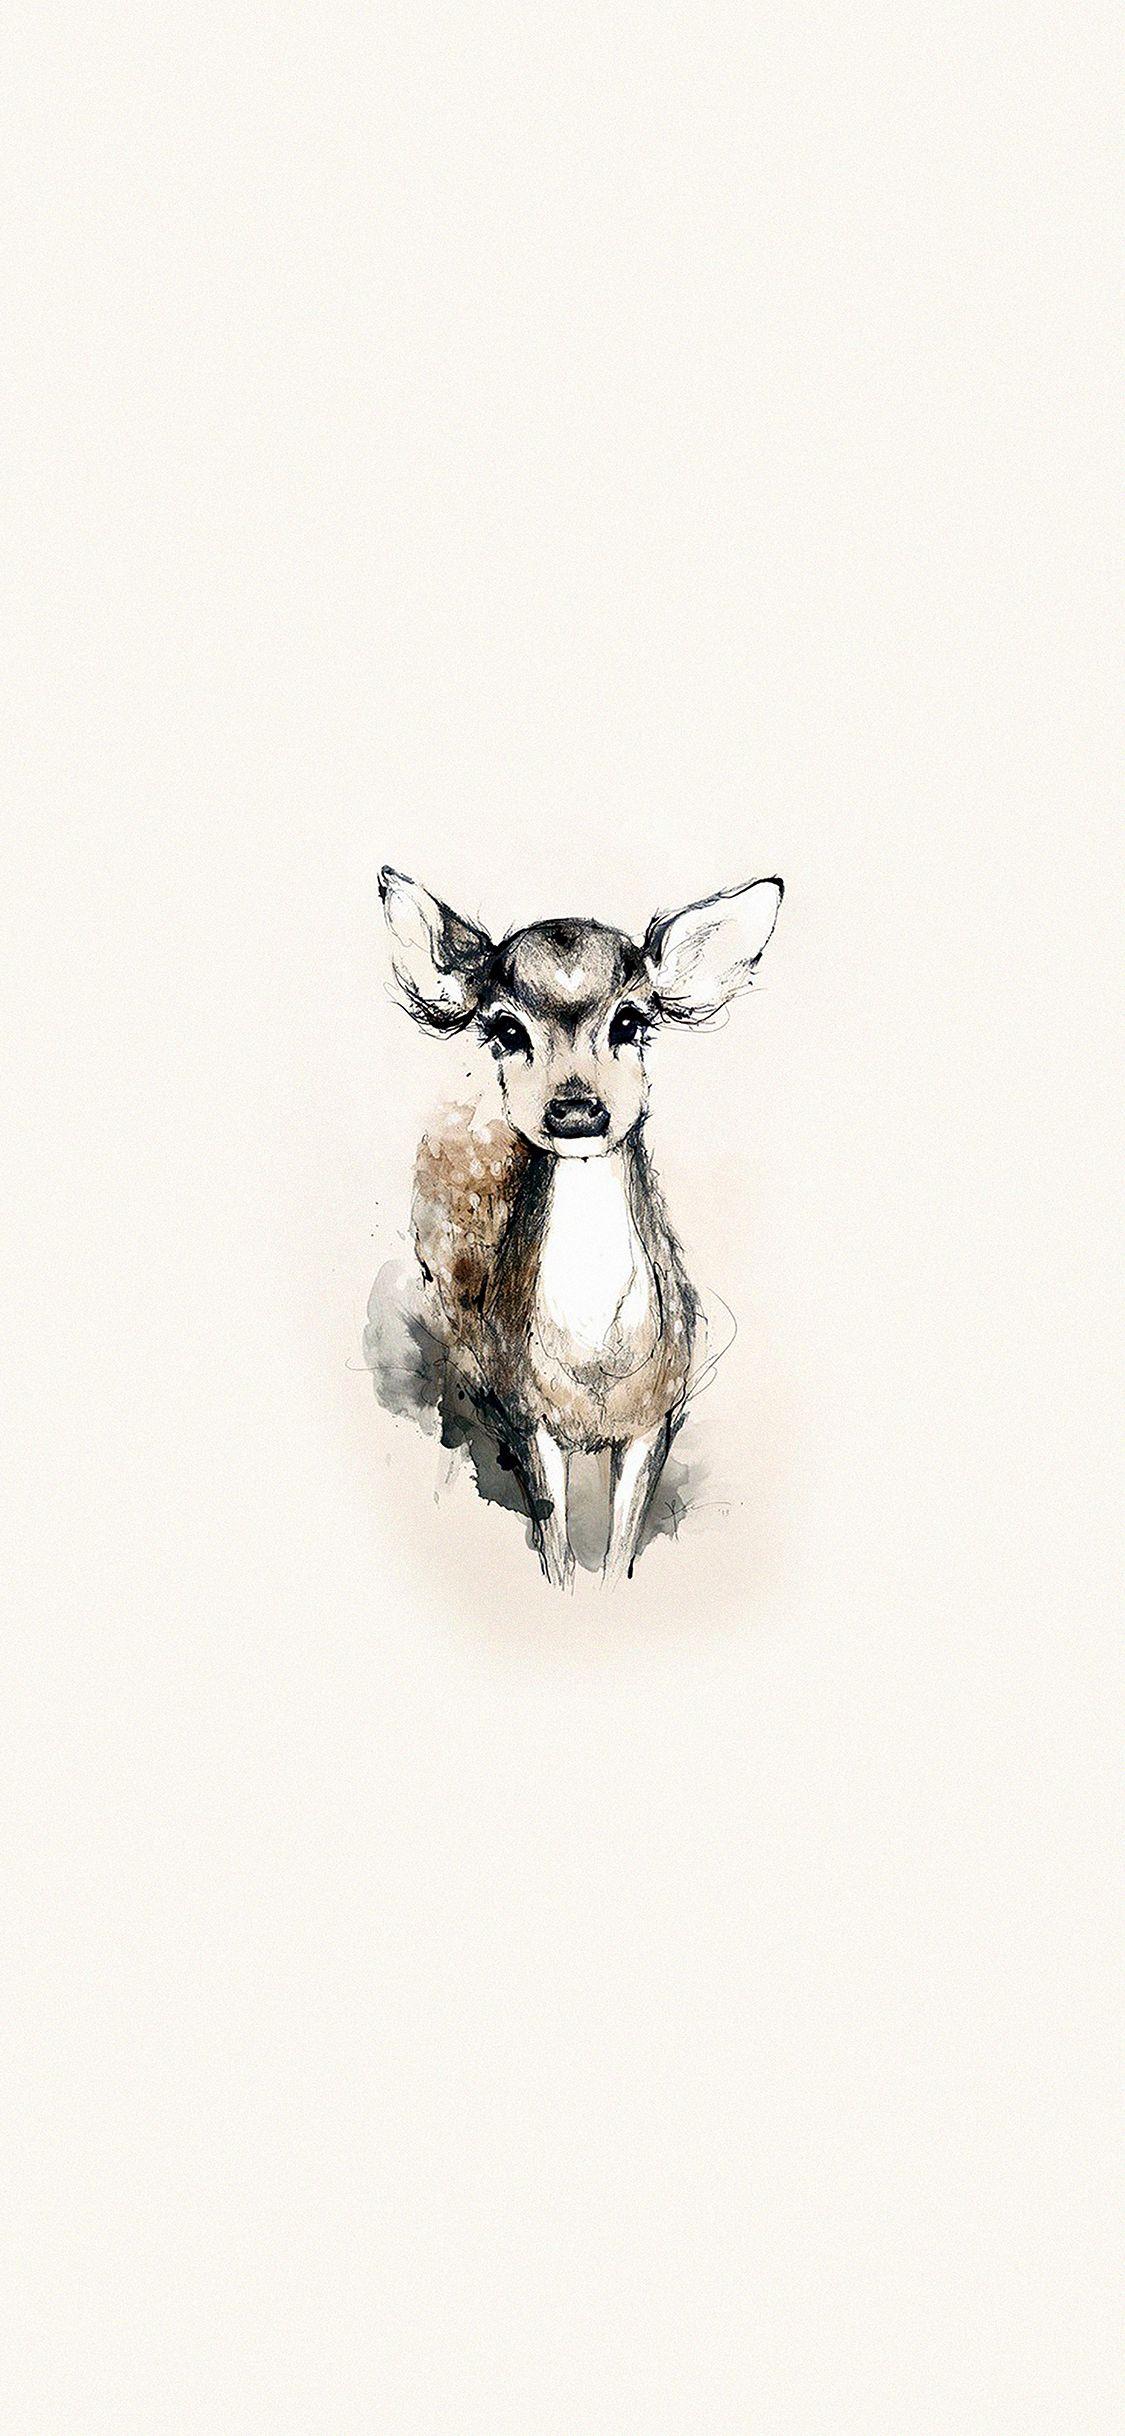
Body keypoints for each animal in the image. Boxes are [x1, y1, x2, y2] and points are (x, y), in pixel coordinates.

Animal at [378, 866, 783, 1586]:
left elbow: (620, 1548)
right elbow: (557, 1549)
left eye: (631, 1019)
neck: (595, 1368)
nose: (574, 1110)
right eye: (506, 1029)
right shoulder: (527, 1415)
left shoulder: (657, 1415)